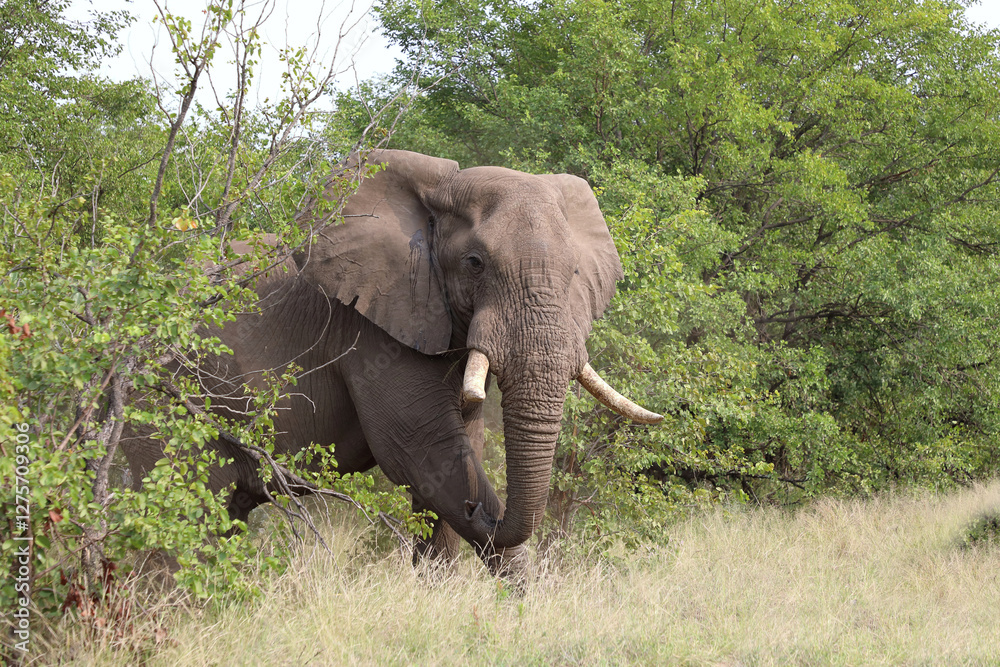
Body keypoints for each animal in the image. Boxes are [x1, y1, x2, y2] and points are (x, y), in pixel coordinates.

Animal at [122, 149, 661, 574]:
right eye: (475, 264)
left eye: (575, 274)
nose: (480, 510)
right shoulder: (370, 331)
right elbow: (425, 451)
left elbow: (457, 450)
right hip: (158, 407)